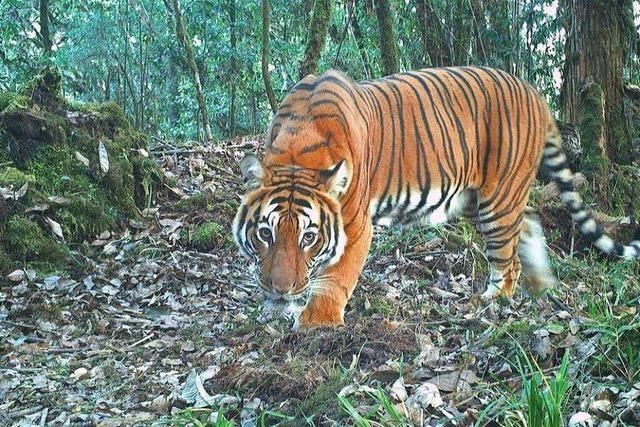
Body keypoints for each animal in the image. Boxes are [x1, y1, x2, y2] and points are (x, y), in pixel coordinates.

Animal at [232, 67, 640, 330]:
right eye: (265, 233)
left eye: (309, 237)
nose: (281, 289)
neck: (296, 150)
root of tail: (535, 93)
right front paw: (276, 309)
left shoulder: (354, 224)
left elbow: (335, 276)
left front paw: (316, 324)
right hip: (478, 201)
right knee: (527, 225)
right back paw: (541, 284)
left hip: (497, 199)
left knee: (506, 258)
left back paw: (493, 300)